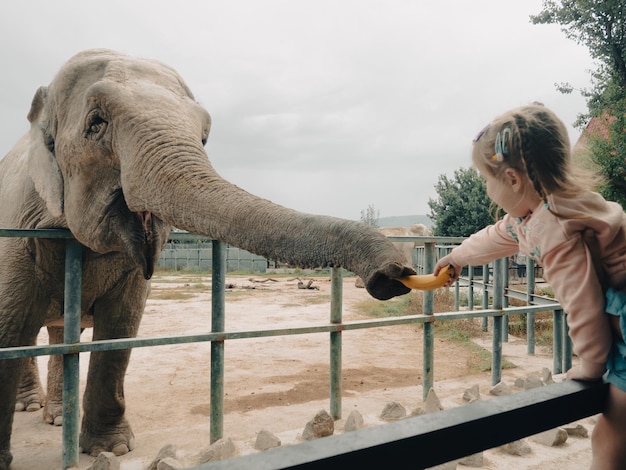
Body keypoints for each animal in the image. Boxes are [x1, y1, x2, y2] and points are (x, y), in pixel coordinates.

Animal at [1, 47, 414, 466]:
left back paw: (54, 417)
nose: (394, 273)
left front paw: (110, 449)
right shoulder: (16, 232)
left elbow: (120, 328)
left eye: (204, 136)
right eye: (96, 123)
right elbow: (11, 329)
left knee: (58, 333)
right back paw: (32, 407)